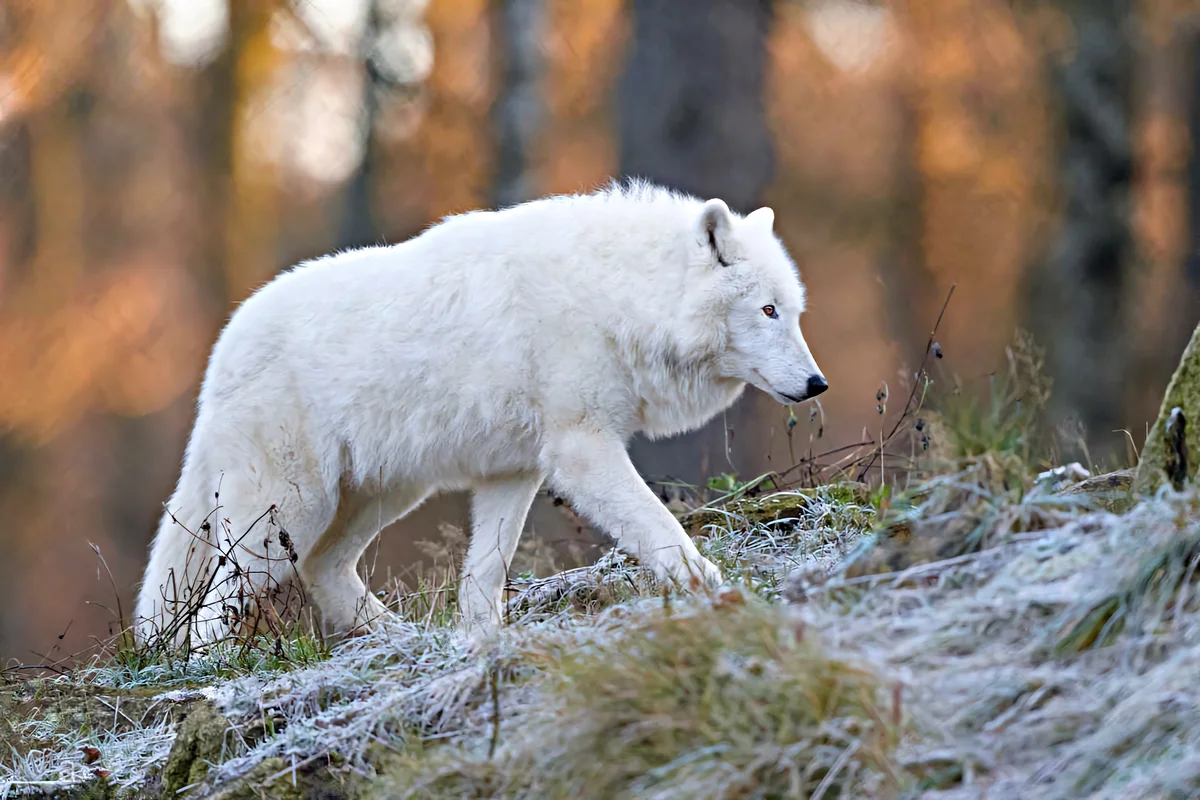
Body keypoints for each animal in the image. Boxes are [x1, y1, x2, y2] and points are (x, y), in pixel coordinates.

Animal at [133, 181, 825, 642]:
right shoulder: (583, 451)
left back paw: (402, 641)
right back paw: (206, 677)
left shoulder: (514, 472)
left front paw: (484, 642)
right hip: (288, 511)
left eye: (794, 312)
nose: (818, 384)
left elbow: (484, 573)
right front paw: (721, 593)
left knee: (323, 569)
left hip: (378, 496)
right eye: (767, 311)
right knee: (215, 604)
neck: (616, 296)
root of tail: (222, 352)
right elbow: (663, 533)